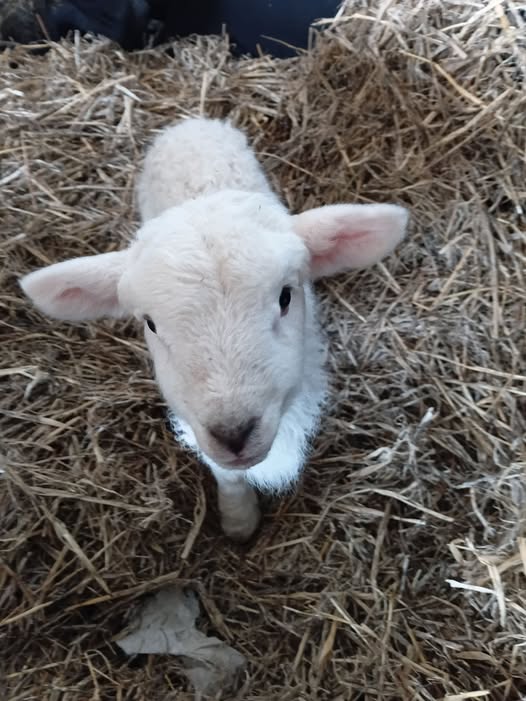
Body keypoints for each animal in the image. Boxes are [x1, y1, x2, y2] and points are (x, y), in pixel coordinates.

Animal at [20, 117, 408, 542]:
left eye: (286, 297)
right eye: (150, 323)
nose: (234, 433)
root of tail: (189, 123)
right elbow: (227, 475)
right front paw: (239, 521)